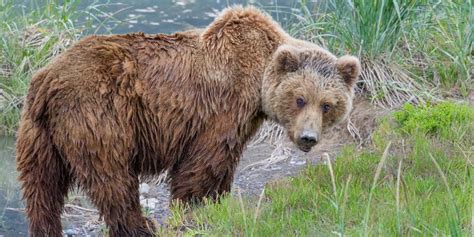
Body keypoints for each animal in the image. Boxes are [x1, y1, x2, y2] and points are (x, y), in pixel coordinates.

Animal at [16, 4, 362, 236]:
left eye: (328, 104)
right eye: (300, 98)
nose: (308, 138)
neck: (258, 80)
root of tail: (48, 79)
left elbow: (223, 163)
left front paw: (219, 201)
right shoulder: (223, 108)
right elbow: (203, 162)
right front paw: (194, 207)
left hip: (39, 133)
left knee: (42, 189)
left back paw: (46, 227)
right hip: (98, 116)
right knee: (112, 177)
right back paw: (141, 225)